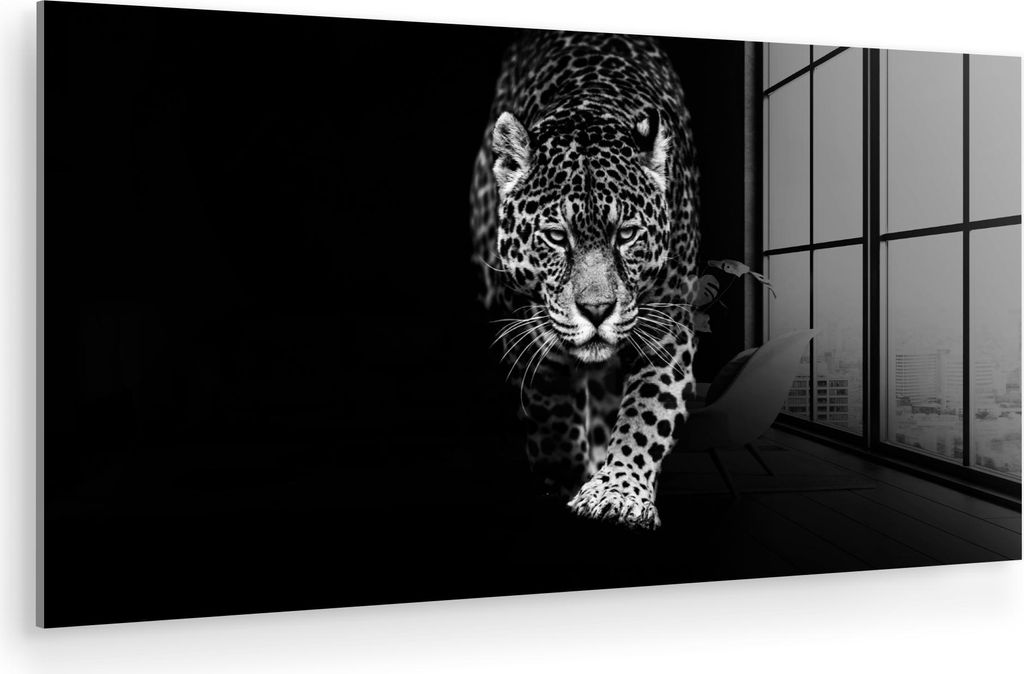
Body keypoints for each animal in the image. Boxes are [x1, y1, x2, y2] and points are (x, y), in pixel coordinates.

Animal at [469, 30, 700, 530]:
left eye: (626, 234)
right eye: (557, 236)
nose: (597, 311)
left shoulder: (667, 330)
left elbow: (647, 413)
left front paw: (618, 492)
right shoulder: (529, 335)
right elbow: (551, 414)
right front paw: (564, 481)